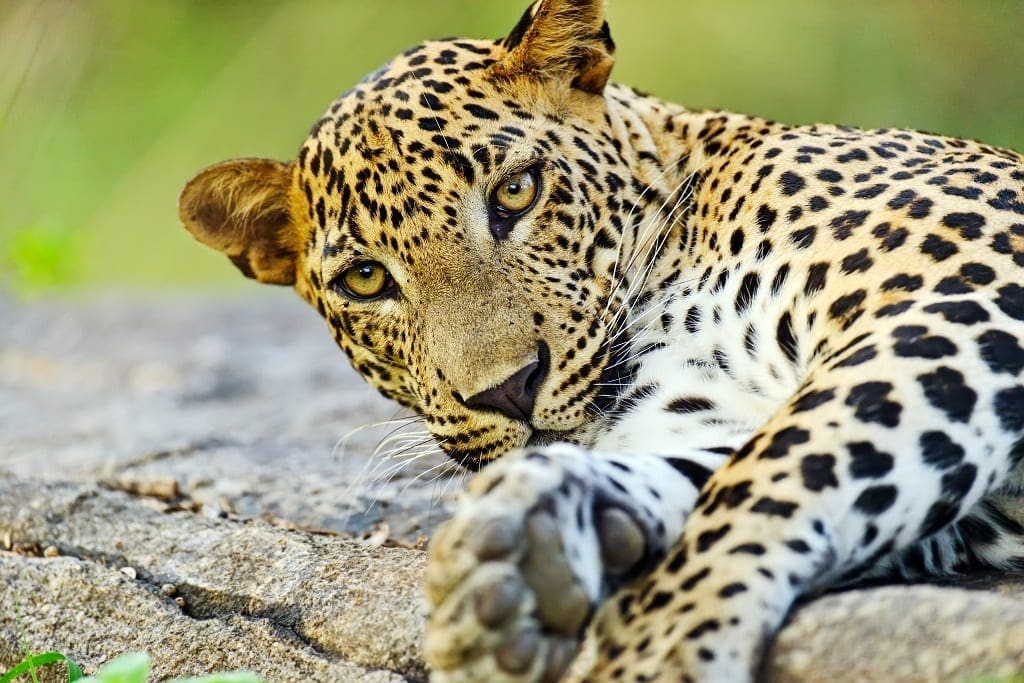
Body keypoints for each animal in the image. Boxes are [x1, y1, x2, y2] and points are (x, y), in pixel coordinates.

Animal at [176, 2, 1024, 679]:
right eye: (364, 279)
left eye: (517, 192)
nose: (507, 388)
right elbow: (723, 466)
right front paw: (528, 549)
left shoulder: (959, 288)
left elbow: (777, 468)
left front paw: (657, 647)